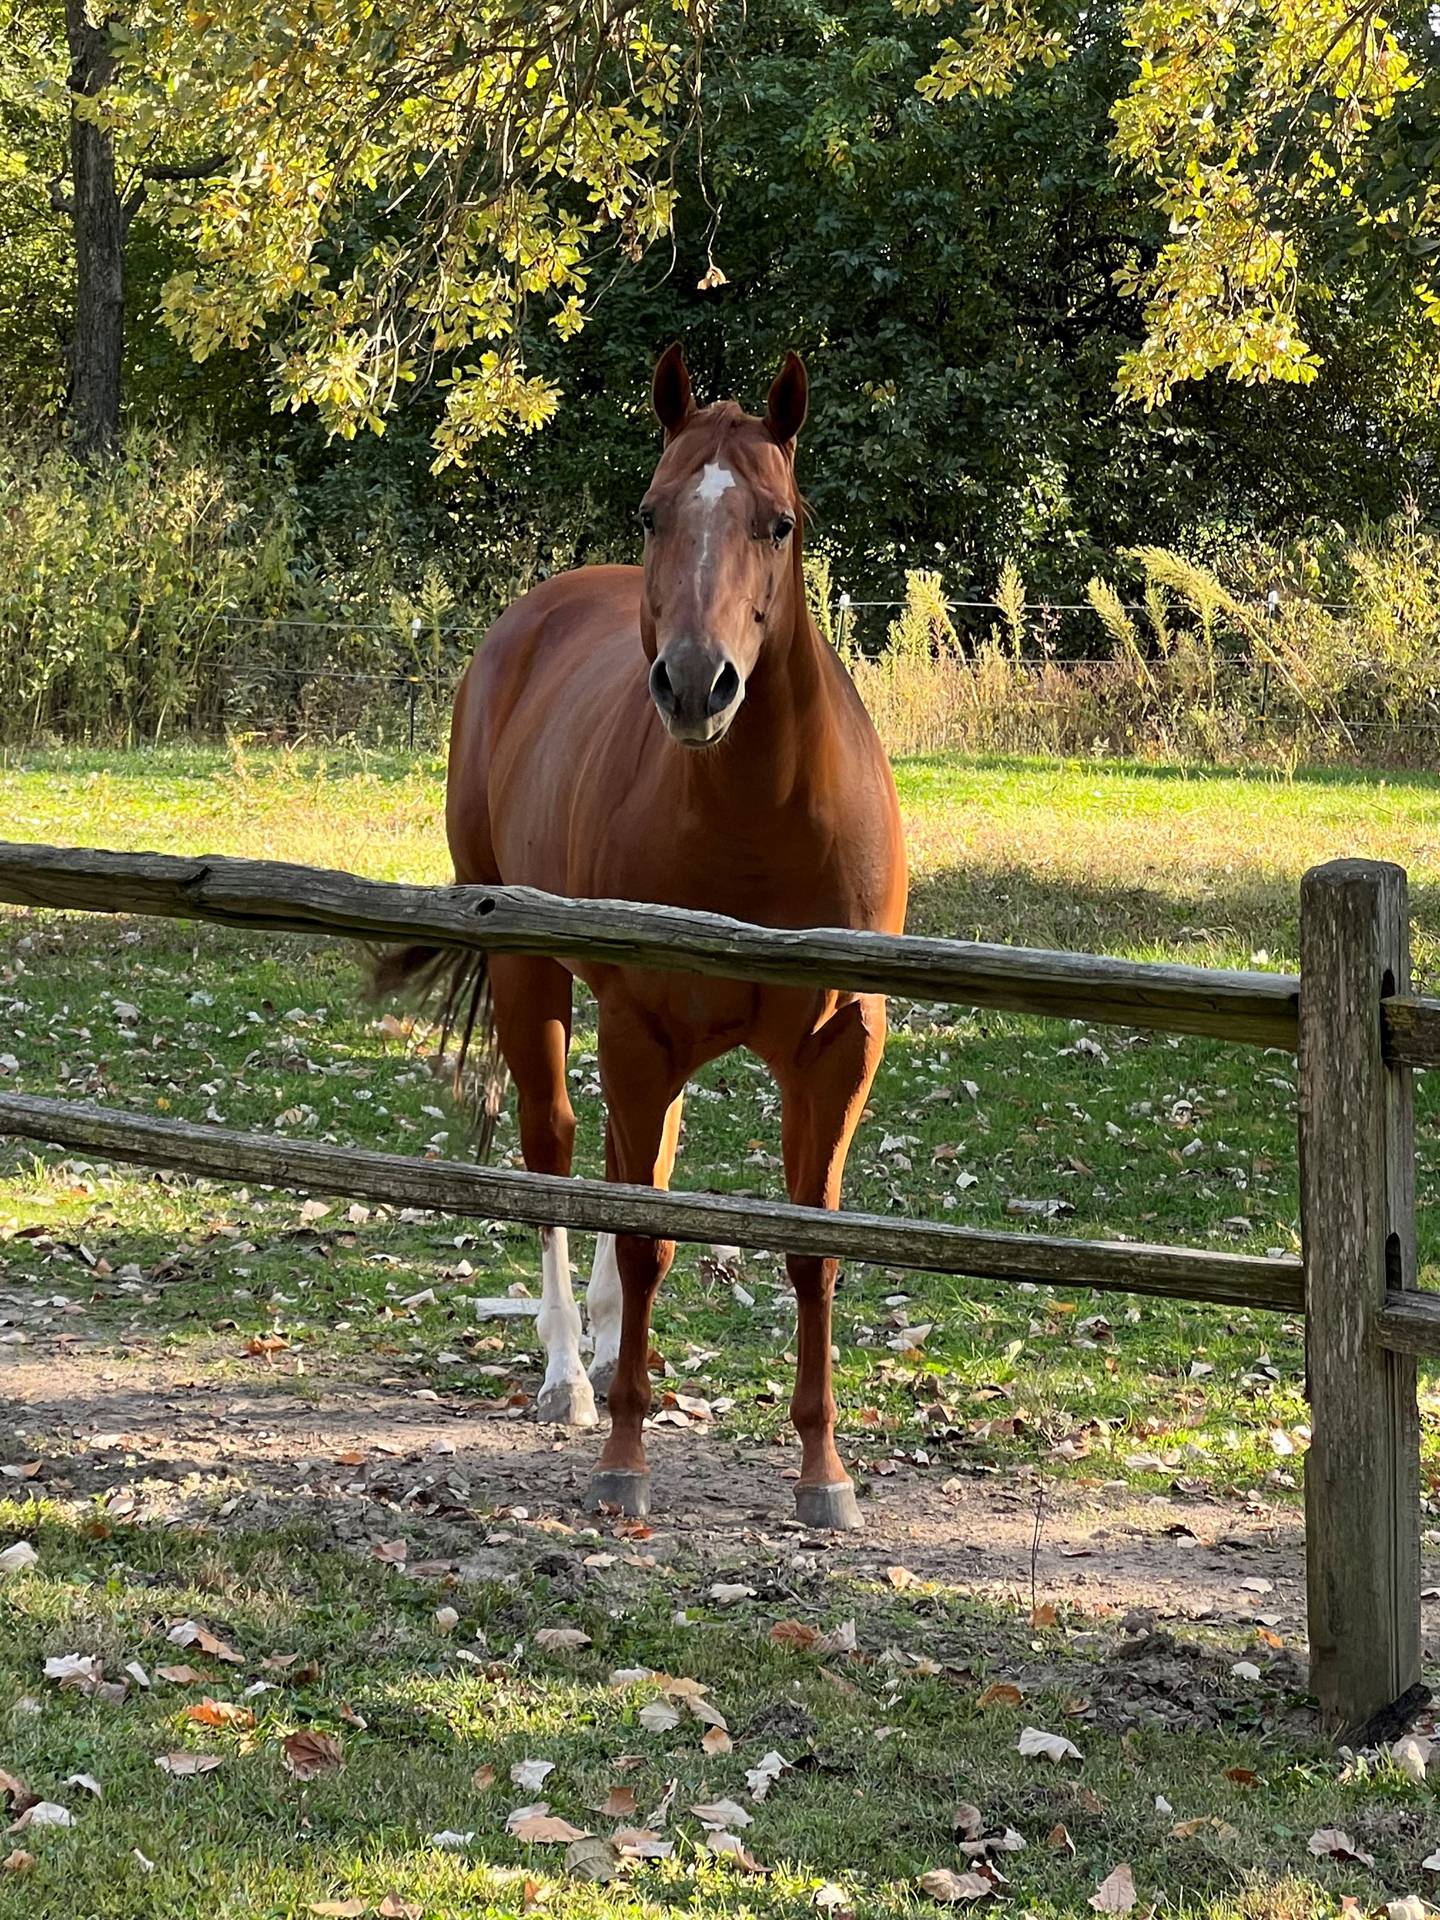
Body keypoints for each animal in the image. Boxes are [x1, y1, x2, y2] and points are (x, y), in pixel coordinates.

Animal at [378, 341, 906, 1512]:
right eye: (652, 510)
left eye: (779, 522)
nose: (697, 685)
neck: (758, 820)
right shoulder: (635, 1028)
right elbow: (641, 1237)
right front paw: (624, 1458)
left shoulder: (841, 1046)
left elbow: (809, 1252)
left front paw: (825, 1473)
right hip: (538, 986)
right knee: (561, 1157)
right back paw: (574, 1376)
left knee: (638, 1161)